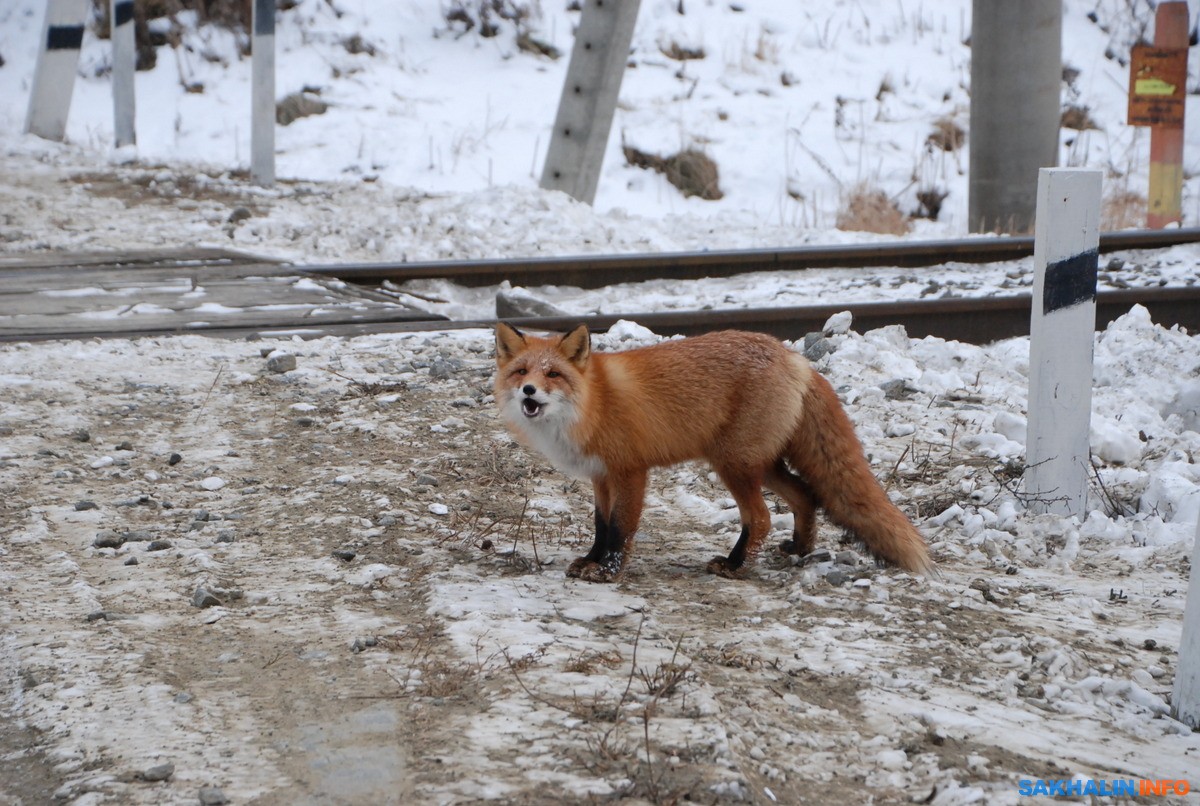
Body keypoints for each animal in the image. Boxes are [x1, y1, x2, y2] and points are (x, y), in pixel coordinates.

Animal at [492, 323, 931, 582]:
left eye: (553, 374)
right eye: (522, 372)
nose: (529, 391)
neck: (592, 403)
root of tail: (796, 359)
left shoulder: (630, 471)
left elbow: (620, 528)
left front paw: (609, 572)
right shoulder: (600, 475)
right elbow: (601, 526)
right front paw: (591, 560)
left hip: (734, 464)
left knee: (761, 517)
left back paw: (735, 565)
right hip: (760, 464)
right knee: (806, 495)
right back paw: (800, 549)